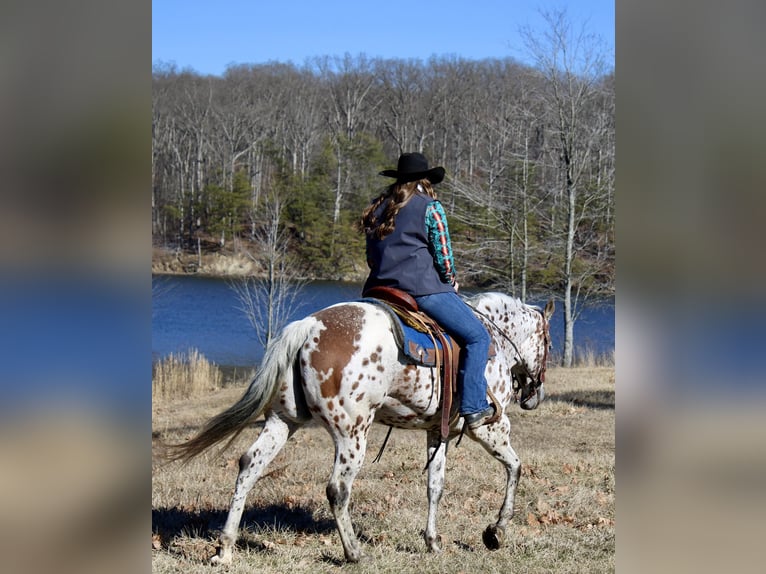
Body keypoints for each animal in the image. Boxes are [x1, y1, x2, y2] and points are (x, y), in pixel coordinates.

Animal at [166, 294, 552, 564]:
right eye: (548, 343)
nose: (535, 396)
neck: (495, 341)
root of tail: (308, 326)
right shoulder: (490, 427)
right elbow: (515, 467)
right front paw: (496, 531)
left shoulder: (436, 431)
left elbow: (435, 486)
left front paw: (433, 541)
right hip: (352, 433)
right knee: (337, 488)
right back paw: (353, 552)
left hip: (282, 421)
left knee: (249, 466)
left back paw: (225, 549)